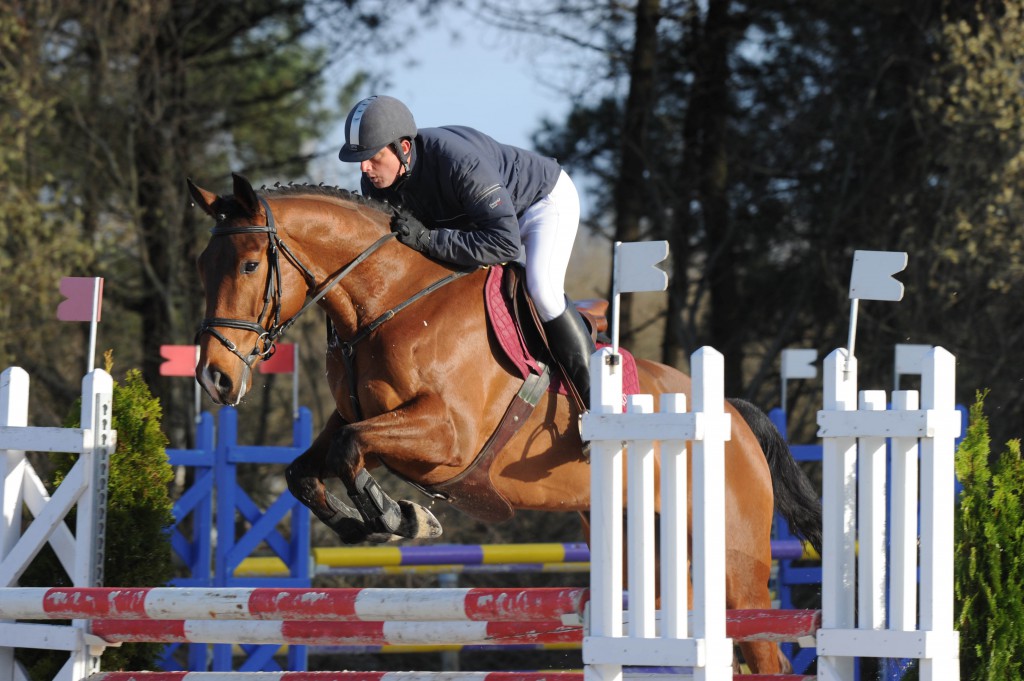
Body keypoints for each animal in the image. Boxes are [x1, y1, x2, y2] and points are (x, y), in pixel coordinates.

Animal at [188, 173, 819, 671]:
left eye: (250, 265)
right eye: (202, 267)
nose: (214, 378)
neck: (393, 301)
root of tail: (735, 416)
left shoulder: (447, 436)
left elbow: (350, 449)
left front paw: (401, 515)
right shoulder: (360, 419)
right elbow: (304, 470)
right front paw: (364, 523)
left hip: (734, 567)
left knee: (766, 652)